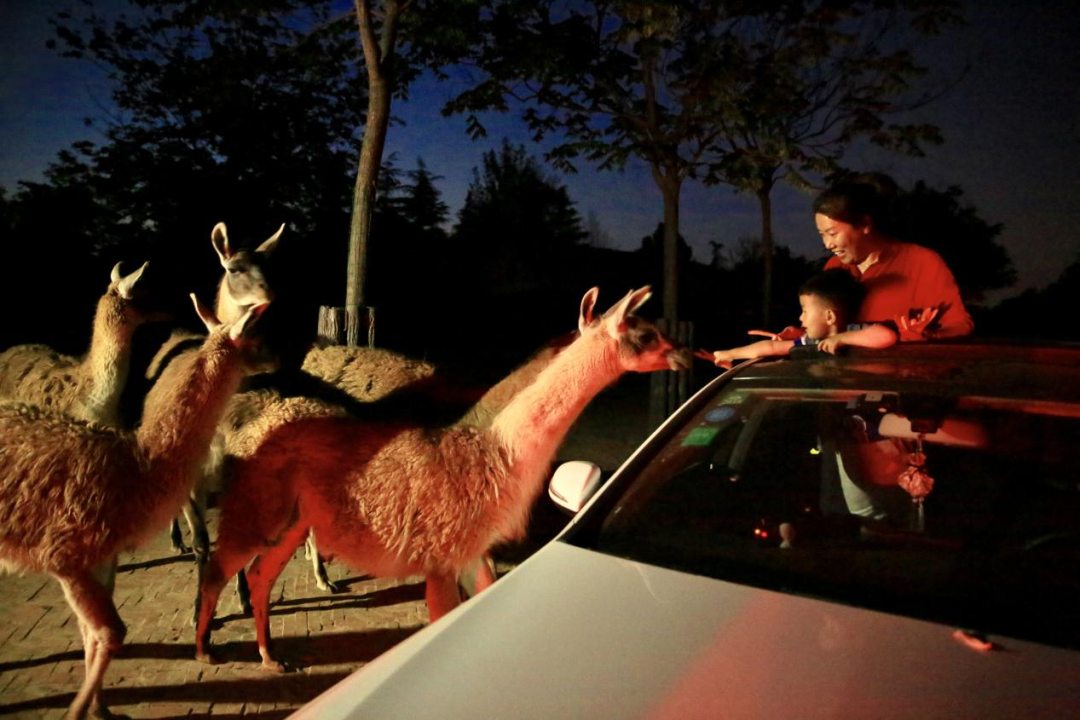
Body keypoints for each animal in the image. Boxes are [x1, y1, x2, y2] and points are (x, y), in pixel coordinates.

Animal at [0, 297, 270, 720]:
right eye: (257, 339)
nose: (277, 360)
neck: (139, 465)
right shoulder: (65, 555)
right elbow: (111, 632)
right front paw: (78, 711)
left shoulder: (98, 558)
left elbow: (93, 634)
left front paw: (101, 710)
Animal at [194, 286, 690, 672]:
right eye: (645, 333)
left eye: (660, 328)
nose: (686, 354)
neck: (493, 448)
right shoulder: (442, 557)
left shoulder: (473, 553)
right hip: (257, 504)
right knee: (220, 565)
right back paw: (206, 649)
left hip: (293, 519)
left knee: (260, 573)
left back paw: (271, 656)